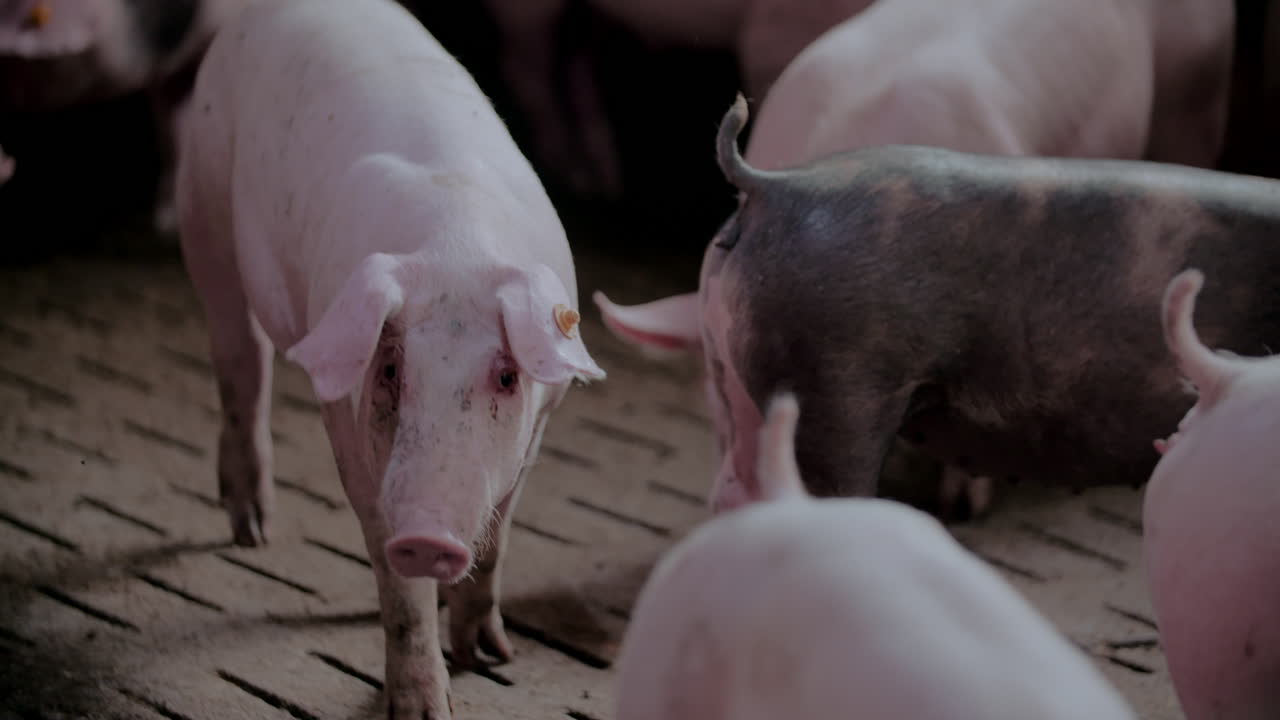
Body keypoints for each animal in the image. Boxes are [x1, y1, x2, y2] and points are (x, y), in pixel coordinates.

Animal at [175, 0, 605, 716]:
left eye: (506, 376)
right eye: (391, 369)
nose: (427, 538)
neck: (455, 245)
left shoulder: (541, 422)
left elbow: (498, 535)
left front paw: (491, 658)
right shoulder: (345, 421)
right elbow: (394, 580)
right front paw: (425, 708)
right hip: (203, 201)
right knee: (240, 359)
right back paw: (252, 531)